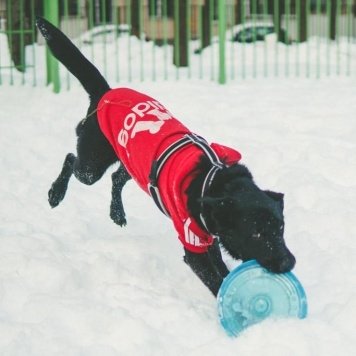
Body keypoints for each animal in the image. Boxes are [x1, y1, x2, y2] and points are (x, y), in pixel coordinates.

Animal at [36, 16, 296, 296]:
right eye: (256, 234)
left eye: (281, 227)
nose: (289, 262)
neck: (212, 180)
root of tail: (105, 92)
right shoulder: (193, 245)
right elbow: (216, 281)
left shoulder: (208, 236)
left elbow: (221, 268)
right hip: (92, 166)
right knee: (71, 159)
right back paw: (56, 193)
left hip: (134, 165)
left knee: (116, 177)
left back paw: (117, 214)